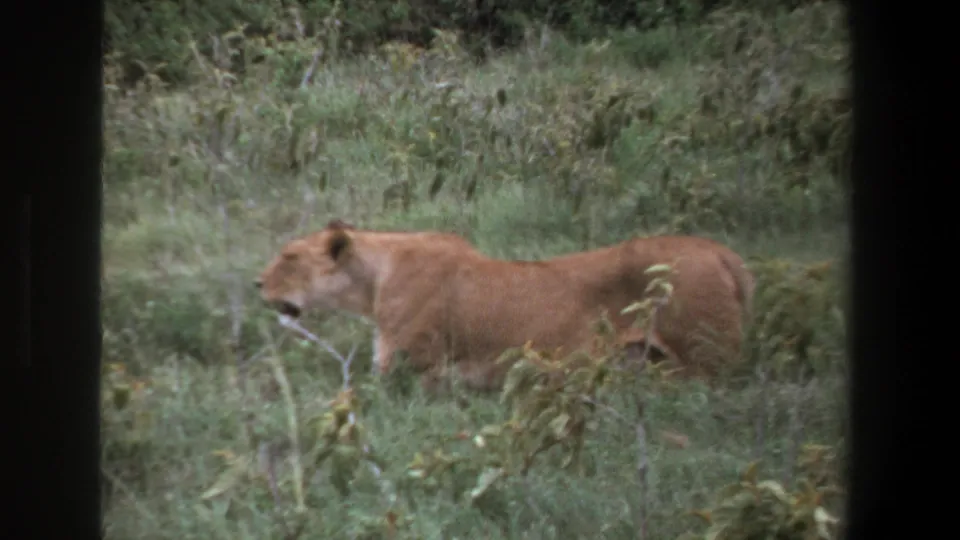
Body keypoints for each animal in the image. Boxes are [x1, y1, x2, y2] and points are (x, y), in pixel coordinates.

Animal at [255, 219, 755, 393]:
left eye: (290, 257)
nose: (256, 283)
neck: (373, 280)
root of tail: (723, 253)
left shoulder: (413, 371)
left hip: (706, 364)